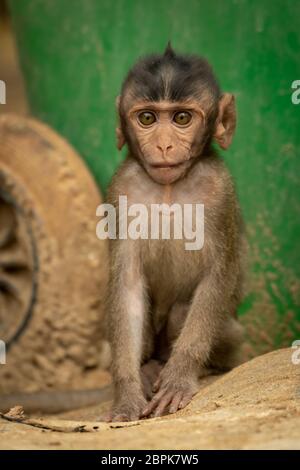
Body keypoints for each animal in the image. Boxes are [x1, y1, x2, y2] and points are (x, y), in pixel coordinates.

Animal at [106, 42, 246, 420]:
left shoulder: (220, 190)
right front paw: (127, 392)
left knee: (186, 311)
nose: (165, 146)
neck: (169, 189)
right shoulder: (122, 191)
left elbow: (219, 273)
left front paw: (179, 378)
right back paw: (148, 368)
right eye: (147, 119)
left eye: (182, 118)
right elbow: (128, 285)